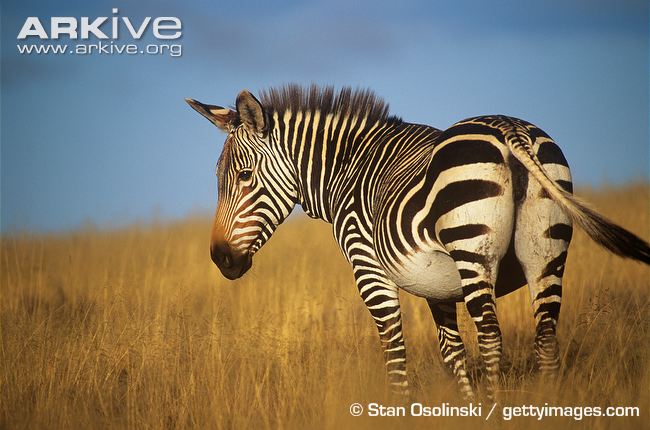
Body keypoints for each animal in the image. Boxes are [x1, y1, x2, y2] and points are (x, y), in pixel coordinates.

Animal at [184, 85, 648, 400]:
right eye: (219, 179)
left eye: (244, 177)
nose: (220, 258)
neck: (345, 168)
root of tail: (509, 129)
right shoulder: (438, 286)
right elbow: (452, 353)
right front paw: (466, 409)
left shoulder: (369, 270)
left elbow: (395, 353)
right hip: (547, 253)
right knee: (546, 338)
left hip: (472, 250)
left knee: (491, 337)